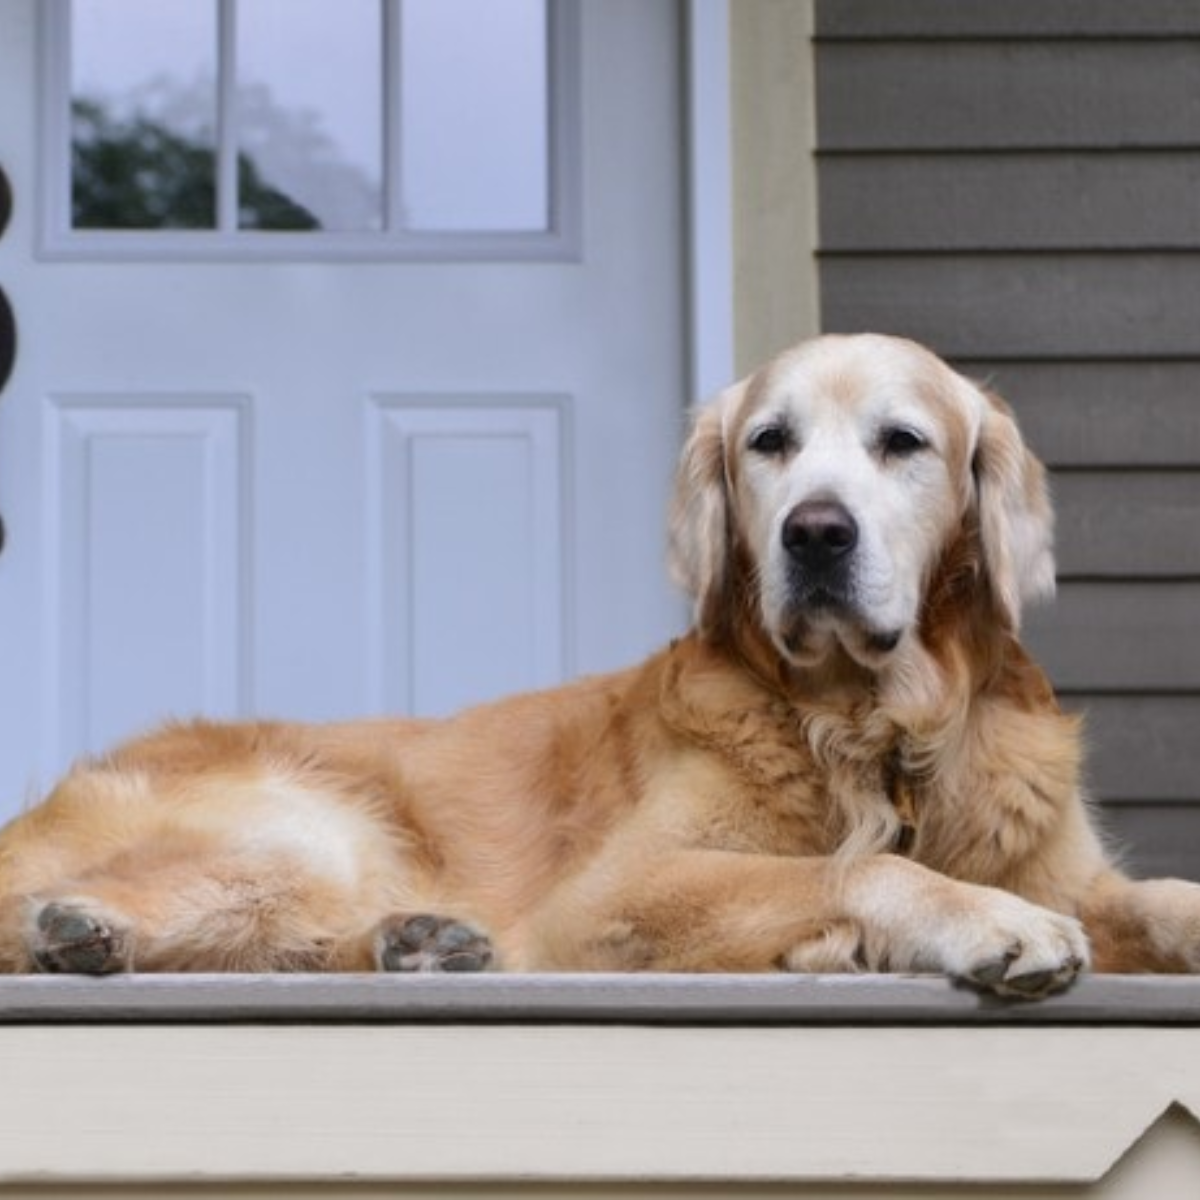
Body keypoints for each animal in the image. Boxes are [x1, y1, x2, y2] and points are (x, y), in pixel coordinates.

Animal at [2, 333, 1200, 998]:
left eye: (902, 442)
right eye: (769, 441)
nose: (815, 534)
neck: (878, 732)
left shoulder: (1070, 867)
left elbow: (1164, 895)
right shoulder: (614, 892)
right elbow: (856, 870)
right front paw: (982, 920)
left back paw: (417, 942)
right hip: (306, 828)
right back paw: (86, 932)